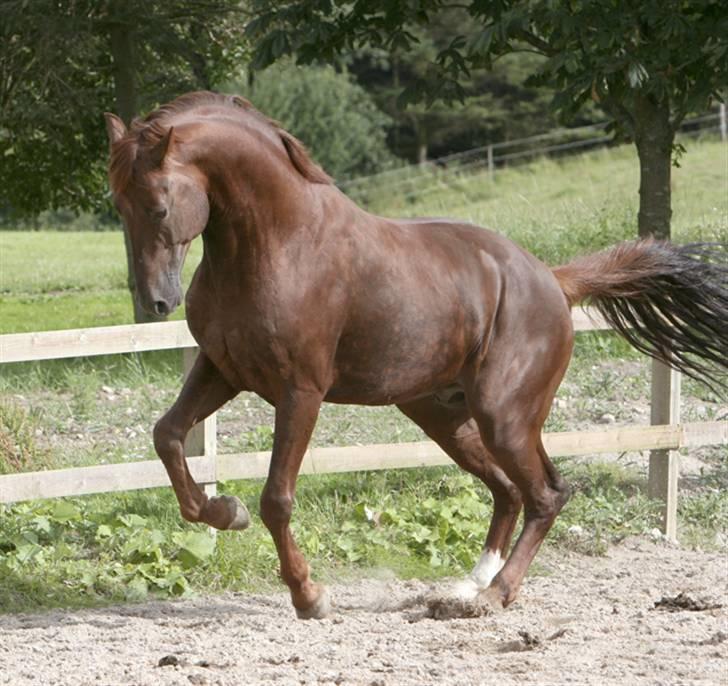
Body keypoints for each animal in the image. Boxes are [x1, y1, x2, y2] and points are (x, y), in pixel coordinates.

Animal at [106, 90, 728, 620]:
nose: (157, 301)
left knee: (546, 494)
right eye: (120, 206)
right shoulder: (222, 370)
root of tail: (553, 280)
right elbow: (167, 436)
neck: (279, 242)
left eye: (158, 207)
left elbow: (276, 498)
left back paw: (495, 595)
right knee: (508, 491)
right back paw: (468, 586)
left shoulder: (299, 391)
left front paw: (310, 596)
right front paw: (222, 513)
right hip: (443, 417)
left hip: (505, 416)